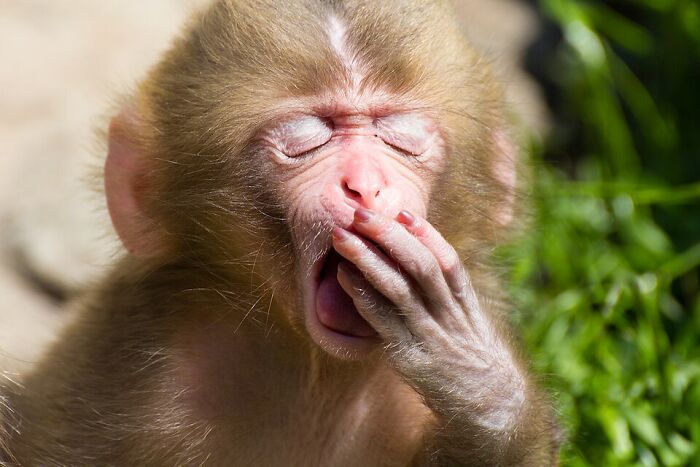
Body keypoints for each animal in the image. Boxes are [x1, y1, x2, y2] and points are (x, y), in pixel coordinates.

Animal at [0, 0, 561, 465]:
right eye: (306, 141)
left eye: (399, 137)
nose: (364, 184)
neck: (318, 370)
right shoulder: (135, 371)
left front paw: (476, 380)